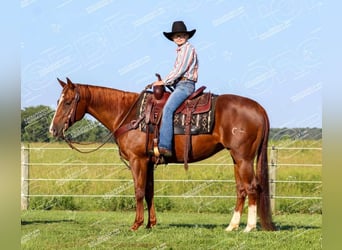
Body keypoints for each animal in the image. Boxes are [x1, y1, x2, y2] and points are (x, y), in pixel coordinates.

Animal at [50, 77, 276, 232]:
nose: (53, 129)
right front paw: (151, 224)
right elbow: (149, 192)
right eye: (59, 100)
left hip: (244, 158)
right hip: (236, 159)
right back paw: (232, 226)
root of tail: (259, 108)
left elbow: (139, 191)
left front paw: (136, 224)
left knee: (252, 187)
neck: (129, 114)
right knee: (241, 189)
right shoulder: (149, 162)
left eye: (68, 102)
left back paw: (249, 228)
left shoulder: (138, 160)